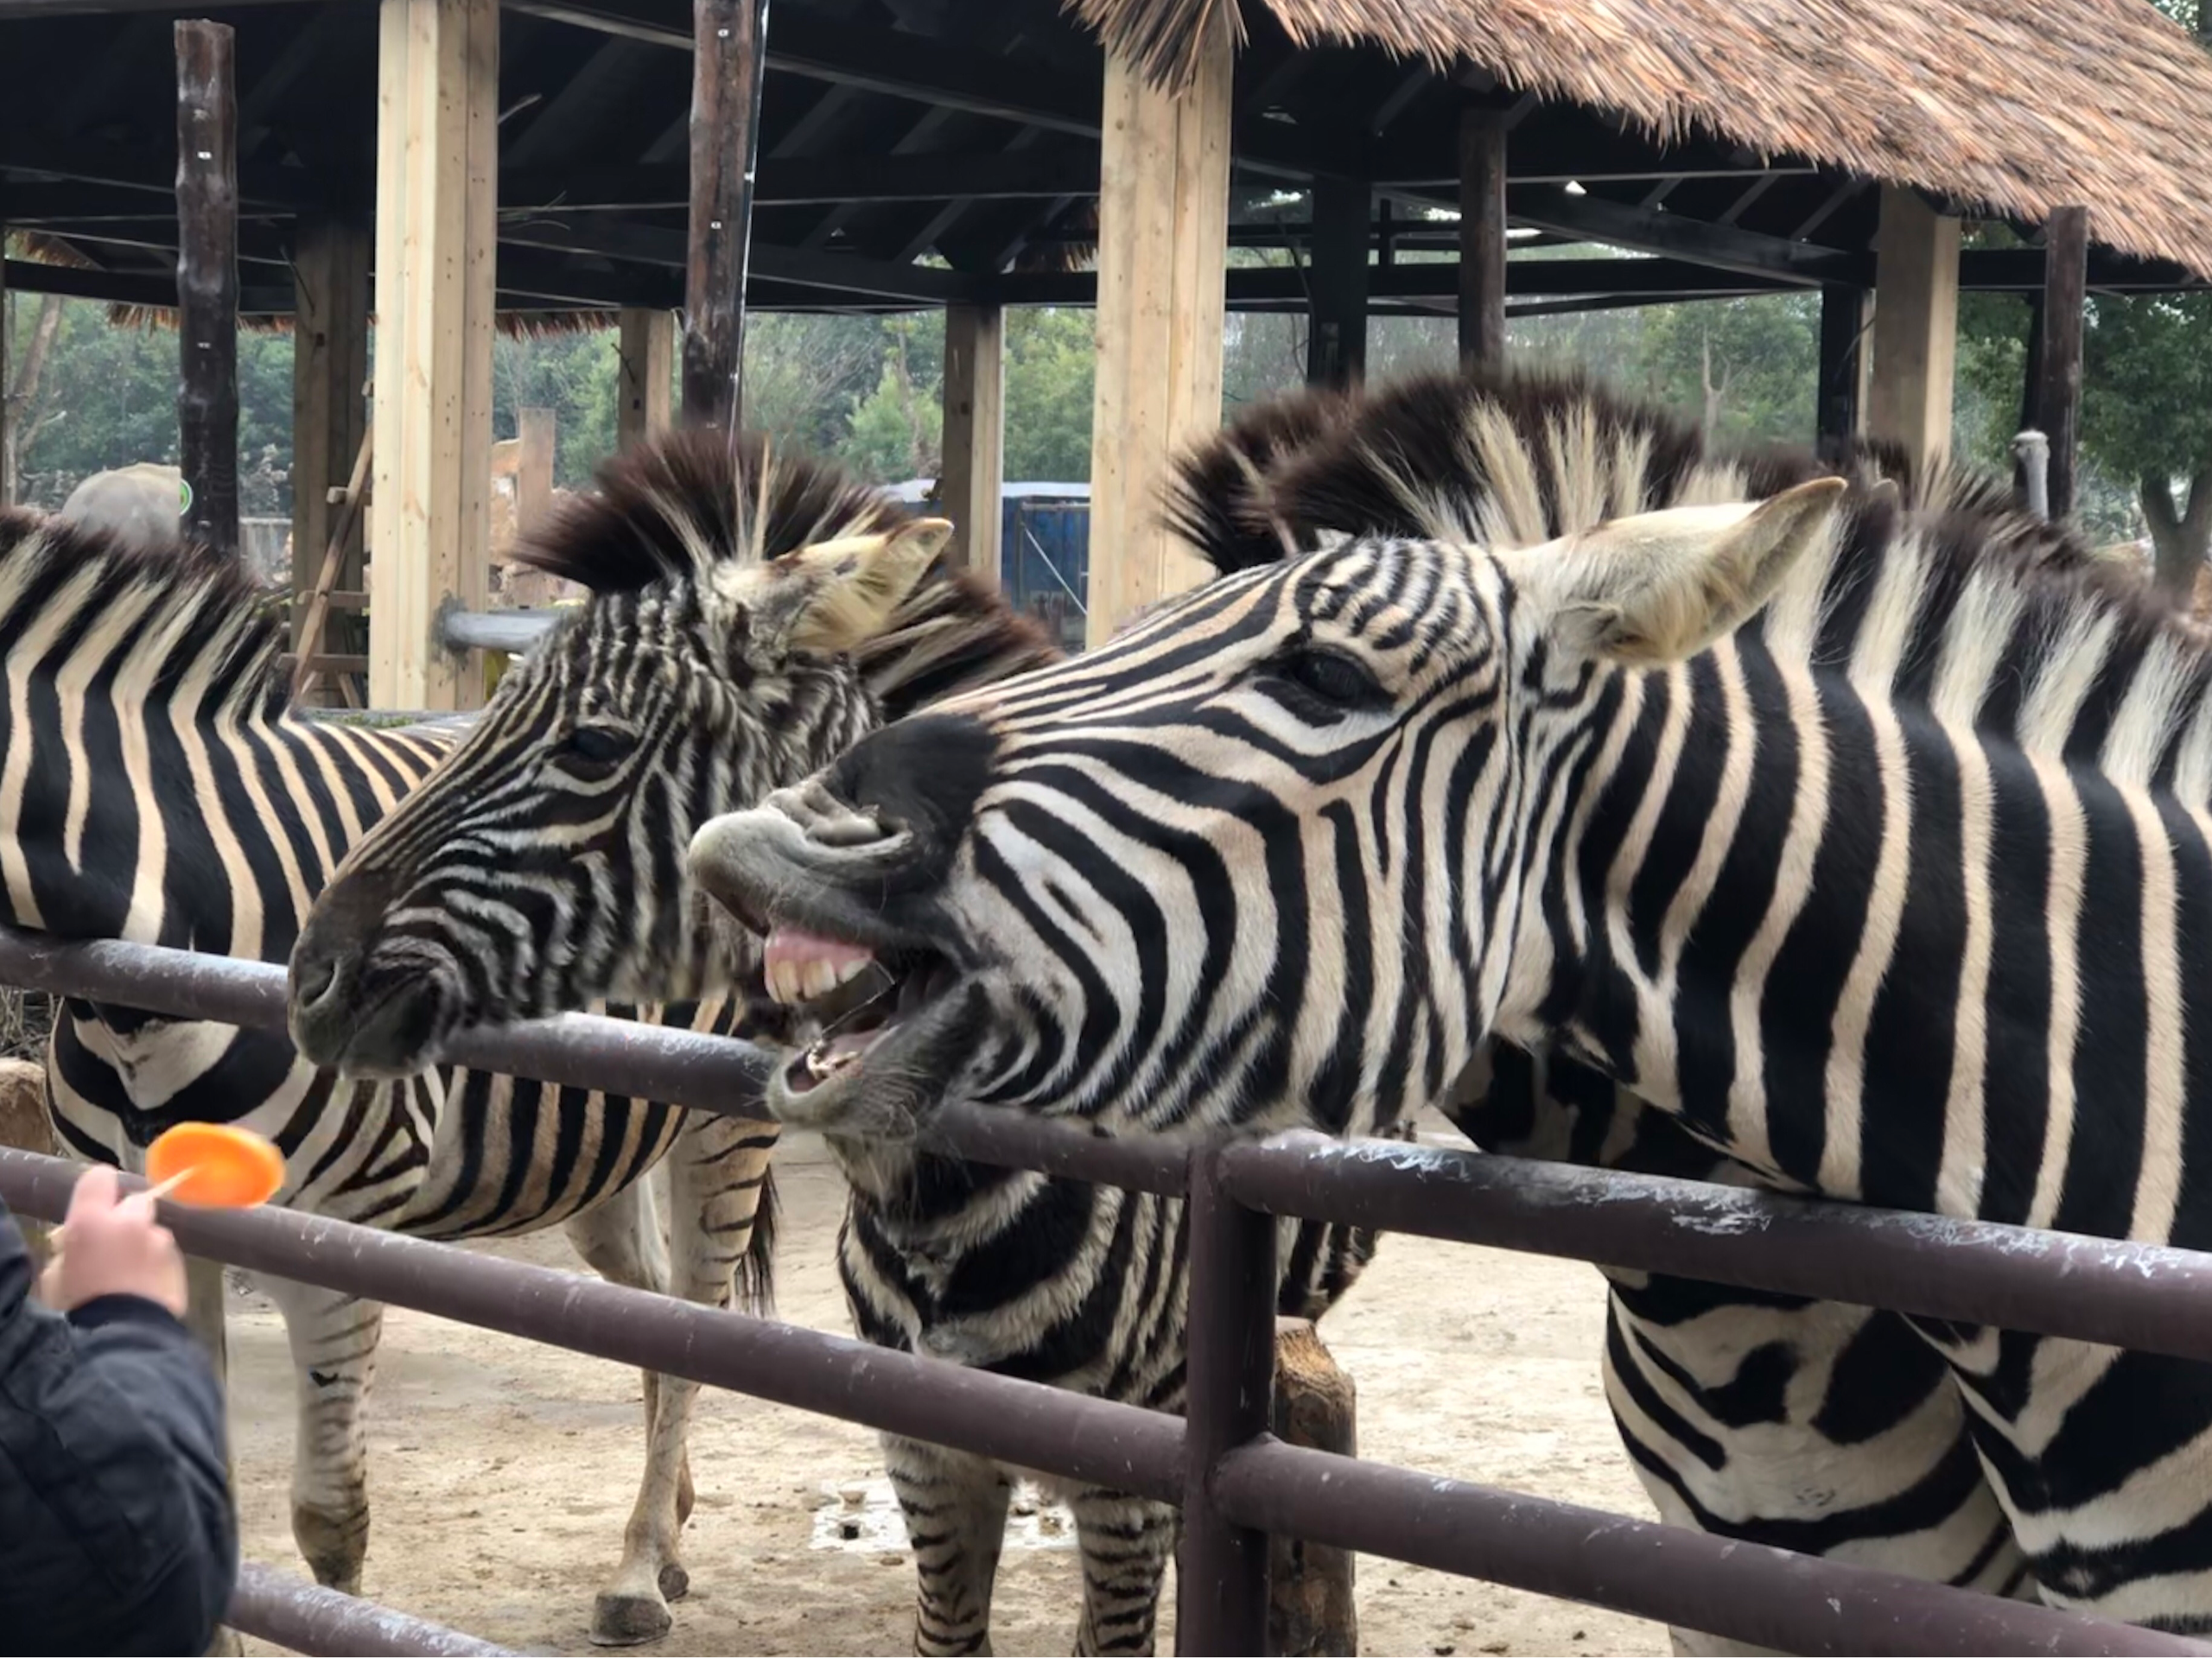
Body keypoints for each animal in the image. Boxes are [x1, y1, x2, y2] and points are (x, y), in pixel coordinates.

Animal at [0, 455, 946, 1653]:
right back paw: (669, 1529)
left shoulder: (338, 1228)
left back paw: (638, 1569)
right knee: (649, 1307)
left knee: (699, 1316)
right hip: (602, 1146)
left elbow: (329, 1520)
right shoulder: (155, 1211)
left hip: (733, 1119)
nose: (318, 984)